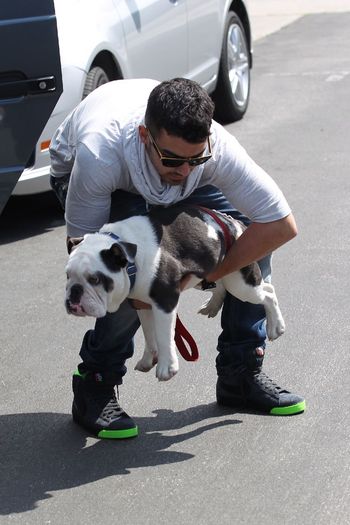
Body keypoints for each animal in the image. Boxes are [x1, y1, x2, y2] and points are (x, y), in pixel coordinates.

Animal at [65, 205, 284, 380]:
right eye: (67, 276)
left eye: (95, 279)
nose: (74, 293)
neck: (130, 259)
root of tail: (233, 223)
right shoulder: (142, 304)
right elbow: (149, 333)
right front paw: (148, 359)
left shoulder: (165, 301)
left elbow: (163, 335)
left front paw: (166, 367)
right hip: (209, 273)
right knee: (222, 285)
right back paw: (213, 305)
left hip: (240, 284)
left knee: (268, 292)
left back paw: (276, 326)